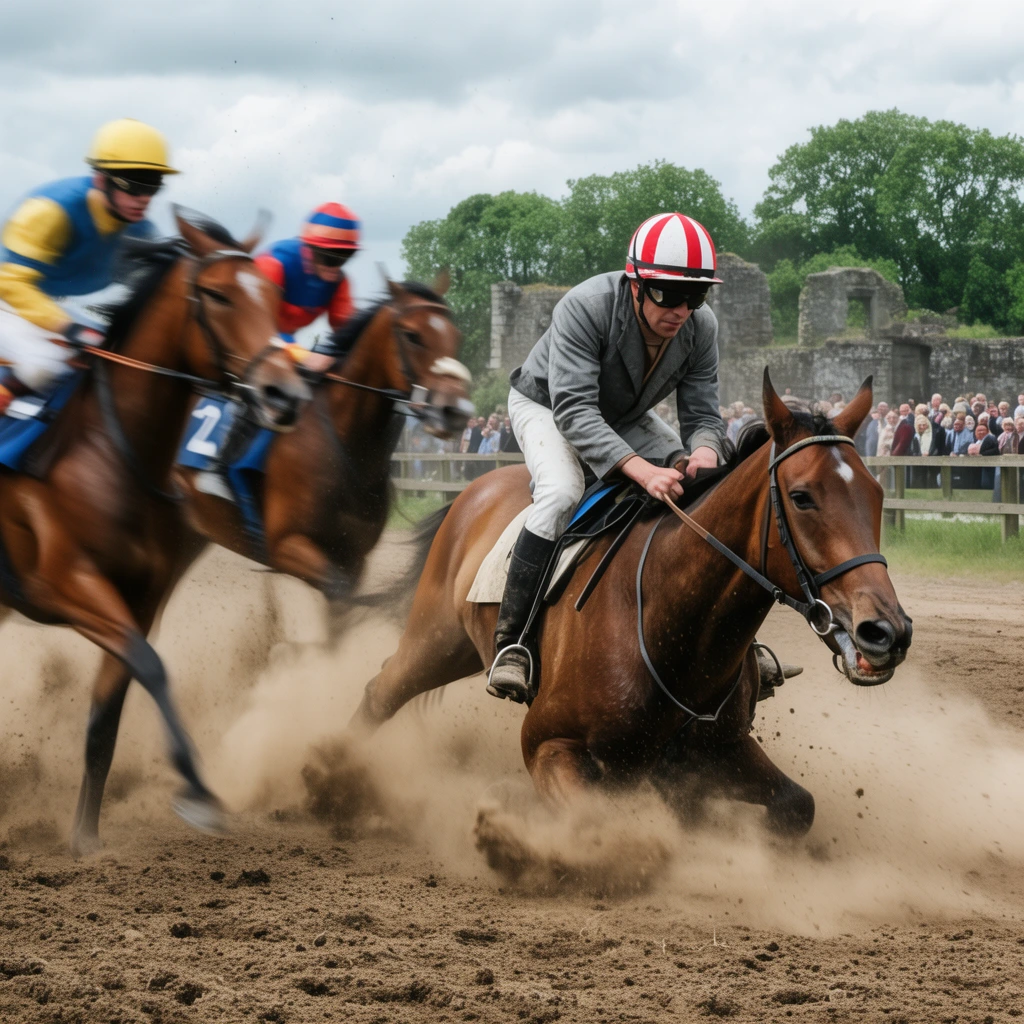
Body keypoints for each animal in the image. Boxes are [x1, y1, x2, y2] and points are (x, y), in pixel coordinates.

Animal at [0, 209, 310, 855]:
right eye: (217, 295)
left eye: (273, 296)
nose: (284, 393)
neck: (112, 453)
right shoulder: (62, 584)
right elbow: (152, 668)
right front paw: (196, 790)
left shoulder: (141, 599)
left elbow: (106, 716)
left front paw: (85, 839)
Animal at [172, 274, 472, 622]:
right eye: (413, 335)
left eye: (455, 335)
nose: (455, 410)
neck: (341, 443)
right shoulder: (285, 545)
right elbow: (337, 590)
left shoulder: (353, 556)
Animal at [345, 372, 912, 836]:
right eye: (801, 497)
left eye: (876, 492)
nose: (887, 631)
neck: (674, 622)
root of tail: (472, 490)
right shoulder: (547, 743)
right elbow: (596, 823)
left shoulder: (720, 748)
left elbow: (797, 806)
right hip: (436, 638)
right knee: (381, 691)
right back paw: (337, 777)